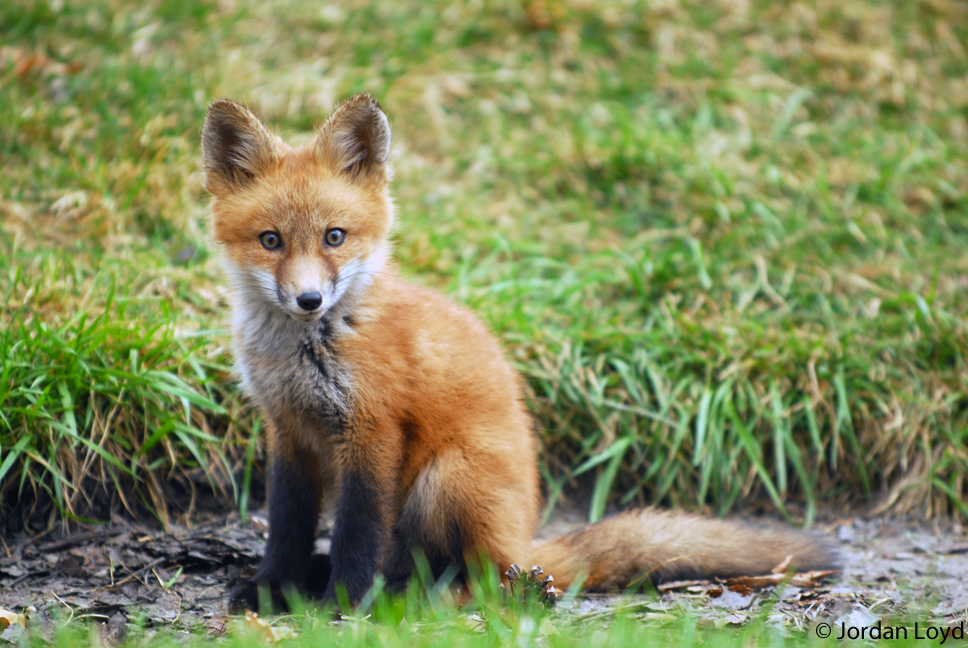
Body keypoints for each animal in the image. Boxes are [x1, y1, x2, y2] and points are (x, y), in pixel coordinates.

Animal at [201, 94, 837, 612]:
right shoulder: (288, 431)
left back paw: (421, 598)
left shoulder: (371, 431)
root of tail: (524, 543)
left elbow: (357, 534)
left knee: (487, 580)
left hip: (447, 479)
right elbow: (286, 526)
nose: (309, 300)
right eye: (271, 241)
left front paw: (343, 606)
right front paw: (274, 590)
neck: (307, 351)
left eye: (334, 236)